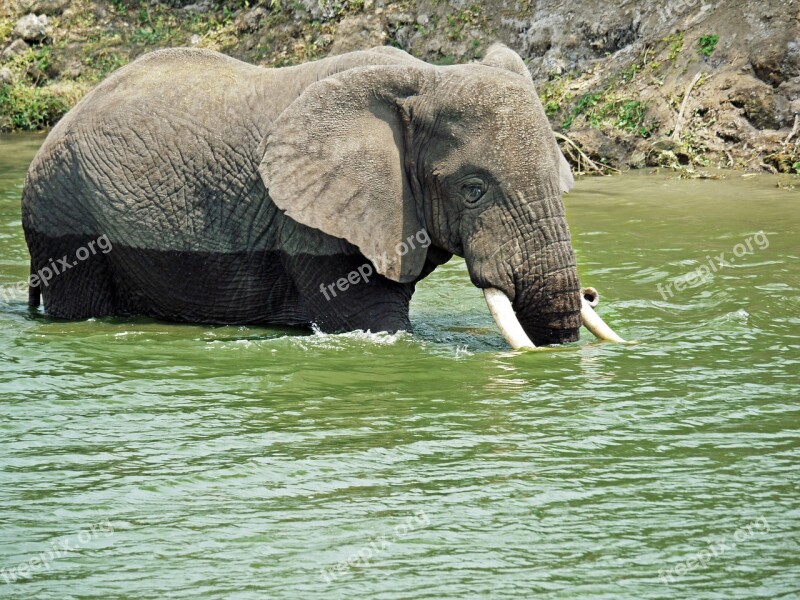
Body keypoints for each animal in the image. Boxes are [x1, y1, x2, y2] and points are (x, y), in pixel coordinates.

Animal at [18, 43, 620, 346]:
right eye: (473, 190)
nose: (591, 294)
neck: (422, 77)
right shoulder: (313, 218)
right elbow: (371, 318)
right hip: (62, 211)